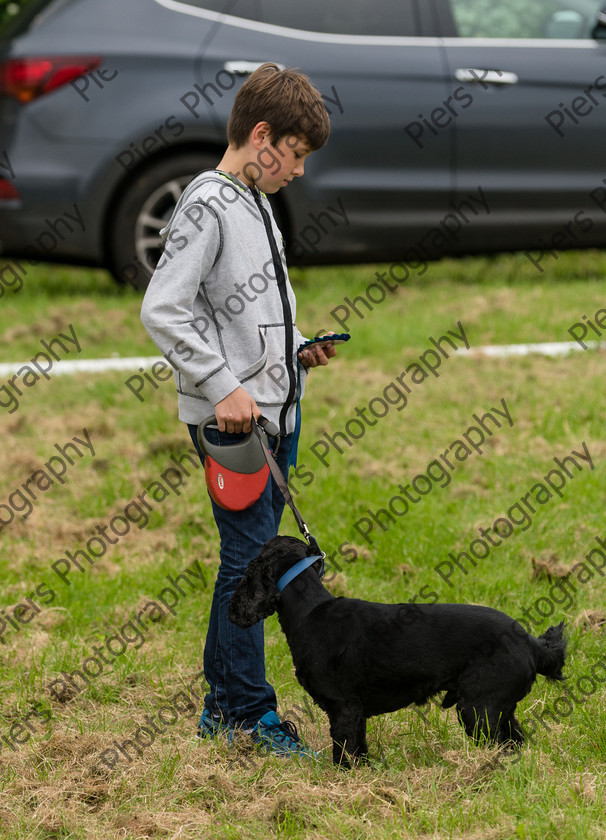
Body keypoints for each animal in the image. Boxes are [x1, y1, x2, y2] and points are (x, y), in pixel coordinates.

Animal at [229, 540, 568, 768]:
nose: (231, 611)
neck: (311, 612)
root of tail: (531, 642)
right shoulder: (356, 712)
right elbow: (359, 748)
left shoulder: (343, 708)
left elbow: (343, 752)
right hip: (499, 710)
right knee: (516, 742)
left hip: (479, 709)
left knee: (501, 745)